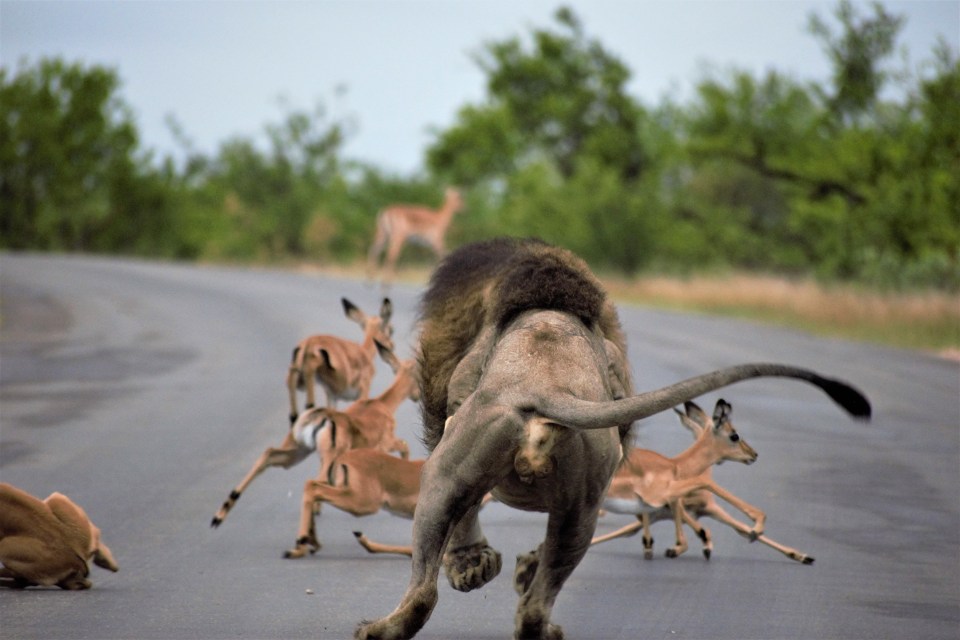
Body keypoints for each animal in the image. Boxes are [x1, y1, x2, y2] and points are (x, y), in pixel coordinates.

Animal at [354, 238, 872, 636]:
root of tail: (545, 384)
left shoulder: (450, 398)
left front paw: (480, 566)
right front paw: (511, 567)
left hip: (447, 475)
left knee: (433, 586)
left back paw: (385, 625)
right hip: (580, 497)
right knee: (526, 604)